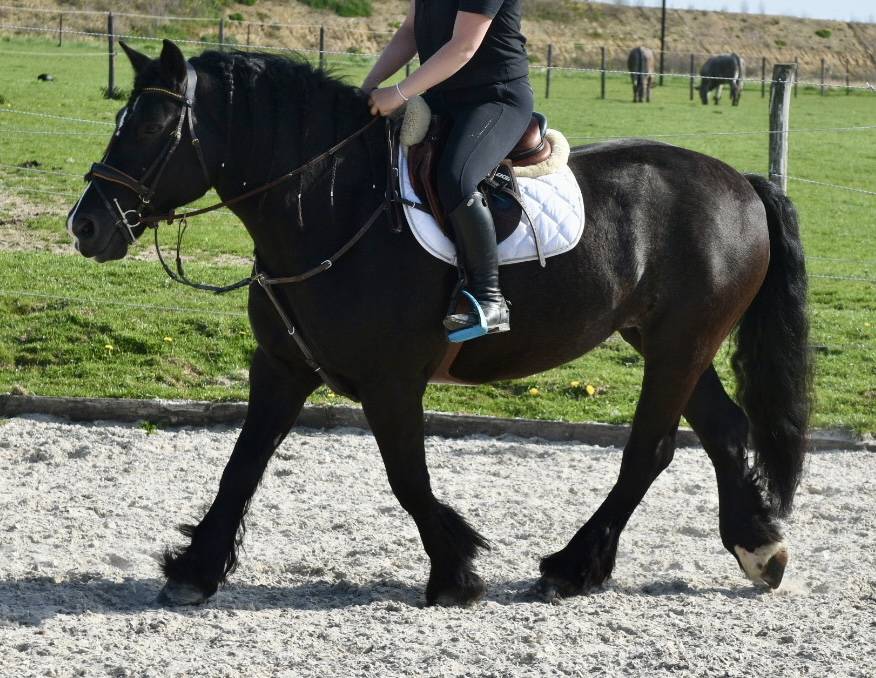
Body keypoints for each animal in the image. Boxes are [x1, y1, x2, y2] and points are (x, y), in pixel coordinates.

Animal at [67, 40, 810, 607]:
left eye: (151, 129)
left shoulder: (390, 382)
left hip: (679, 345)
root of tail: (742, 184)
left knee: (650, 451)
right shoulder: (281, 367)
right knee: (721, 431)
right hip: (674, 343)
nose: (87, 224)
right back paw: (760, 549)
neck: (333, 206)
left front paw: (456, 571)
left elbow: (407, 477)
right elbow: (242, 465)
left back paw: (573, 567)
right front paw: (195, 571)